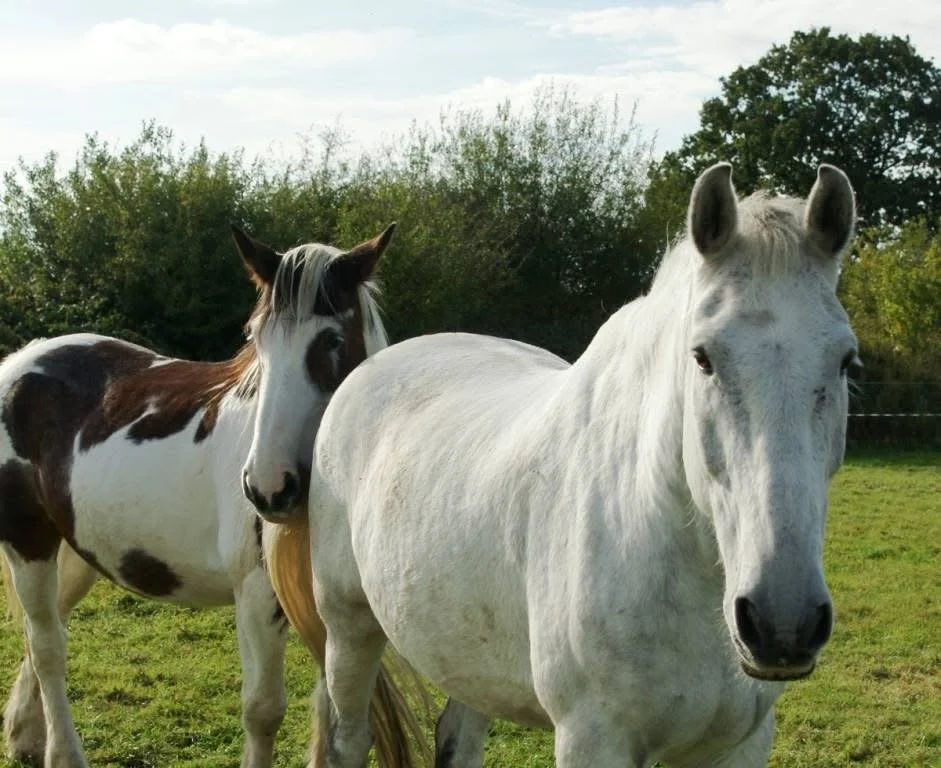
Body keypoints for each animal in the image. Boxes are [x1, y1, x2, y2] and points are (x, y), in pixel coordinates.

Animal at [0, 223, 427, 768]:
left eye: (332, 340)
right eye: (256, 340)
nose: (268, 488)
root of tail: (21, 361)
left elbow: (327, 709)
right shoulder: (259, 594)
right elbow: (263, 712)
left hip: (73, 550)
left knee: (46, 633)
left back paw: (26, 735)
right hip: (27, 541)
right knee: (48, 646)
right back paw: (65, 752)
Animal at [249, 162, 859, 767]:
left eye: (846, 361)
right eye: (702, 357)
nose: (784, 623)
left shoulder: (739, 744)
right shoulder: (593, 739)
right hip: (349, 629)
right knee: (348, 738)